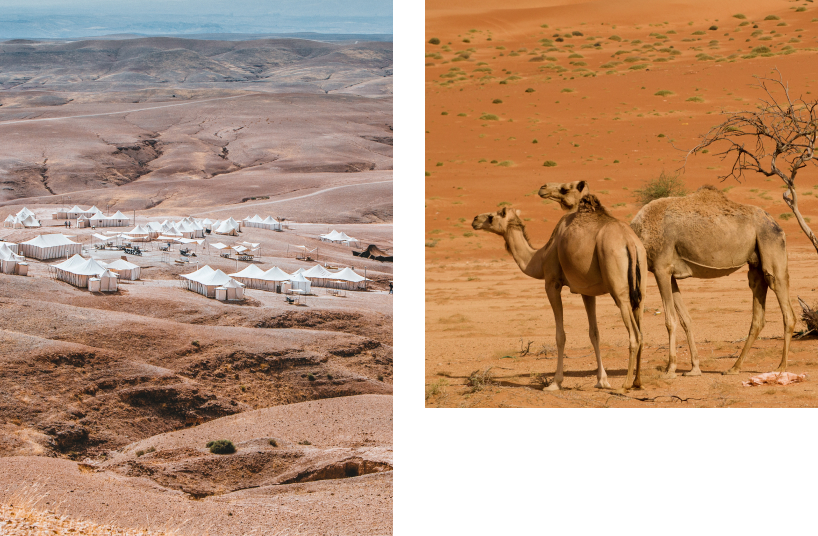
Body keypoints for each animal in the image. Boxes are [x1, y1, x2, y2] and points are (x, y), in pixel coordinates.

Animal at [472, 198, 646, 390]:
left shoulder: (552, 283)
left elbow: (560, 335)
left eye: (491, 216)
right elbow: (594, 333)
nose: (475, 220)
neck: (540, 257)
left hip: (618, 289)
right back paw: (638, 381)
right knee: (641, 330)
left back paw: (626, 383)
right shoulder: (586, 290)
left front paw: (555, 383)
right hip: (640, 284)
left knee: (635, 335)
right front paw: (602, 380)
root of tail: (629, 242)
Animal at [540, 181, 796, 376]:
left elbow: (670, 320)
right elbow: (685, 319)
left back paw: (782, 367)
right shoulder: (670, 273)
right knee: (758, 315)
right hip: (755, 264)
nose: (542, 188)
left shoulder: (662, 269)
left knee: (787, 309)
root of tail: (776, 223)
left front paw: (670, 368)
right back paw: (734, 367)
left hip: (771, 249)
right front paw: (694, 369)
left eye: (565, 188)